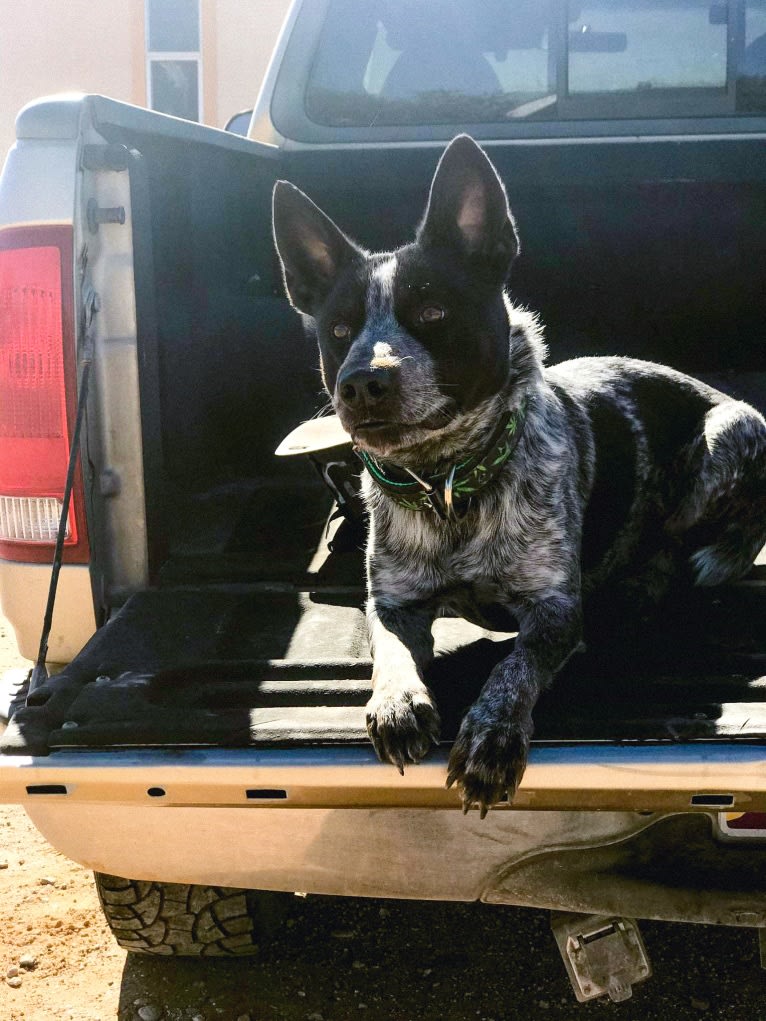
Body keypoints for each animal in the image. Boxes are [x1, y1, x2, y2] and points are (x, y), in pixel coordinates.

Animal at [271, 135, 766, 816]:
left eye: (433, 310)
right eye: (340, 330)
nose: (362, 383)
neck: (450, 483)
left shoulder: (553, 610)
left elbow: (515, 667)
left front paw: (492, 738)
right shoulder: (394, 603)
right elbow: (389, 650)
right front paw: (397, 701)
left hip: (726, 435)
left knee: (680, 545)